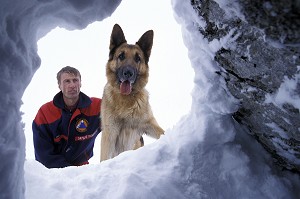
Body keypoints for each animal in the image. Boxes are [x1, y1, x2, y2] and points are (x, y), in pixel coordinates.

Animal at [100, 24, 164, 162]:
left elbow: (162, 132)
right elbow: (105, 158)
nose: (128, 73)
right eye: (121, 56)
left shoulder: (148, 124)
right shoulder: (110, 133)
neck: (126, 100)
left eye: (137, 58)